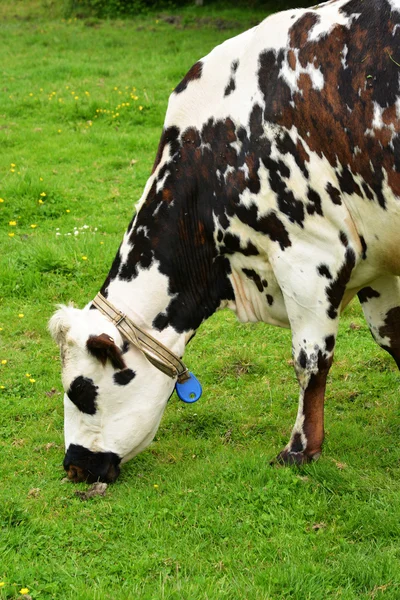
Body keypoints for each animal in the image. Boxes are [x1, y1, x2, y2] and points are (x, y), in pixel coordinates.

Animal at [49, 0, 400, 482]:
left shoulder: (310, 255)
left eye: (80, 392)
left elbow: (310, 358)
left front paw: (300, 450)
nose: (74, 466)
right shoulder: (377, 263)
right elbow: (392, 337)